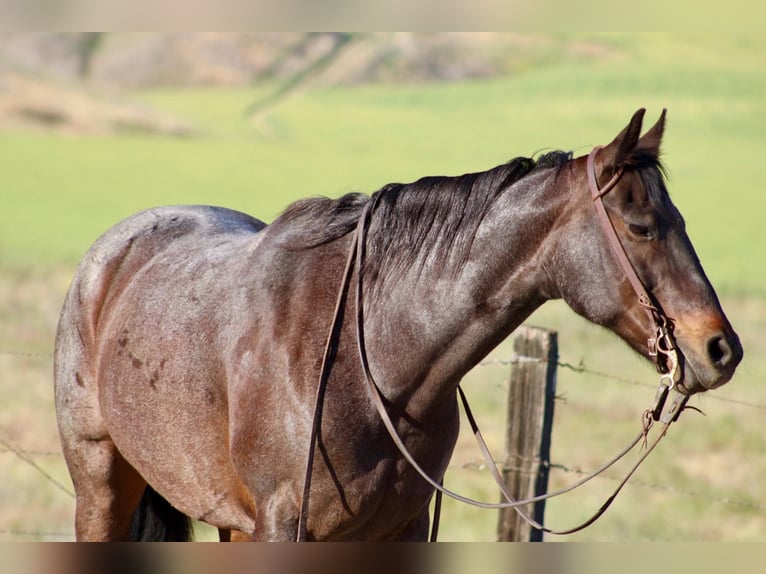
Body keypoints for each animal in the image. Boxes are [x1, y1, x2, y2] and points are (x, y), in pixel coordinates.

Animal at [54, 109, 742, 541]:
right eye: (643, 227)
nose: (721, 348)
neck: (375, 366)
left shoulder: (397, 530)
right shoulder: (282, 528)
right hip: (101, 490)